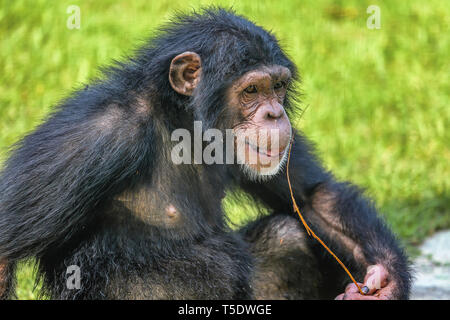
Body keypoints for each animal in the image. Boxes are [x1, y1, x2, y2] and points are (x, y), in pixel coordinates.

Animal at [0, 10, 412, 300]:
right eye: (251, 90)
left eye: (278, 87)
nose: (275, 113)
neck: (182, 123)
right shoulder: (93, 139)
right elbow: (4, 250)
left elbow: (312, 195)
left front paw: (383, 283)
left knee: (287, 237)